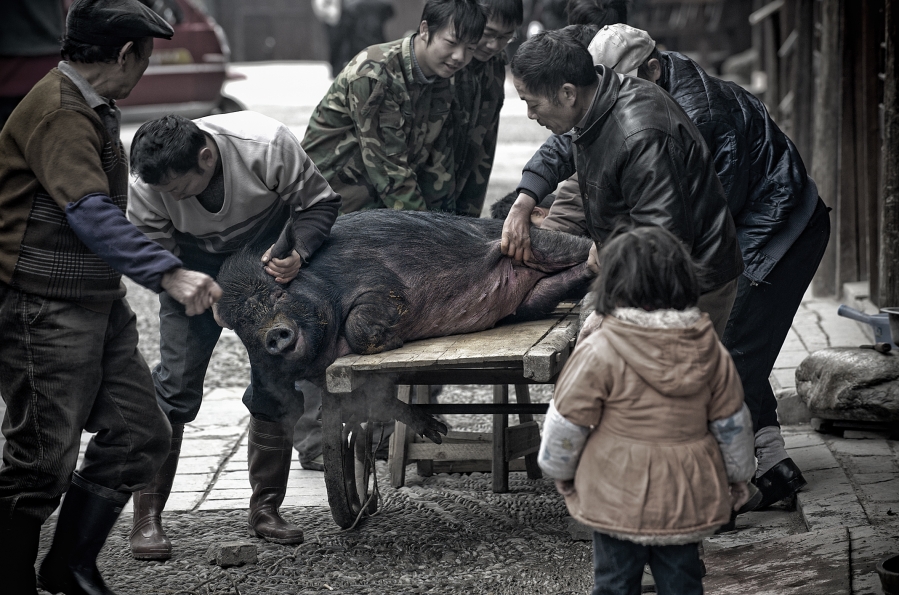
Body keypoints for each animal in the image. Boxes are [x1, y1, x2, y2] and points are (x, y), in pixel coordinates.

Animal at [216, 210, 596, 442]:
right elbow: (377, 401)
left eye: (279, 294)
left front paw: (394, 341)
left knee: (579, 246)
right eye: (243, 324)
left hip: (541, 245)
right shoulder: (329, 380)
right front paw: (436, 431)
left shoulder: (381, 285)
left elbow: (360, 323)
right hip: (532, 301)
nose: (274, 333)